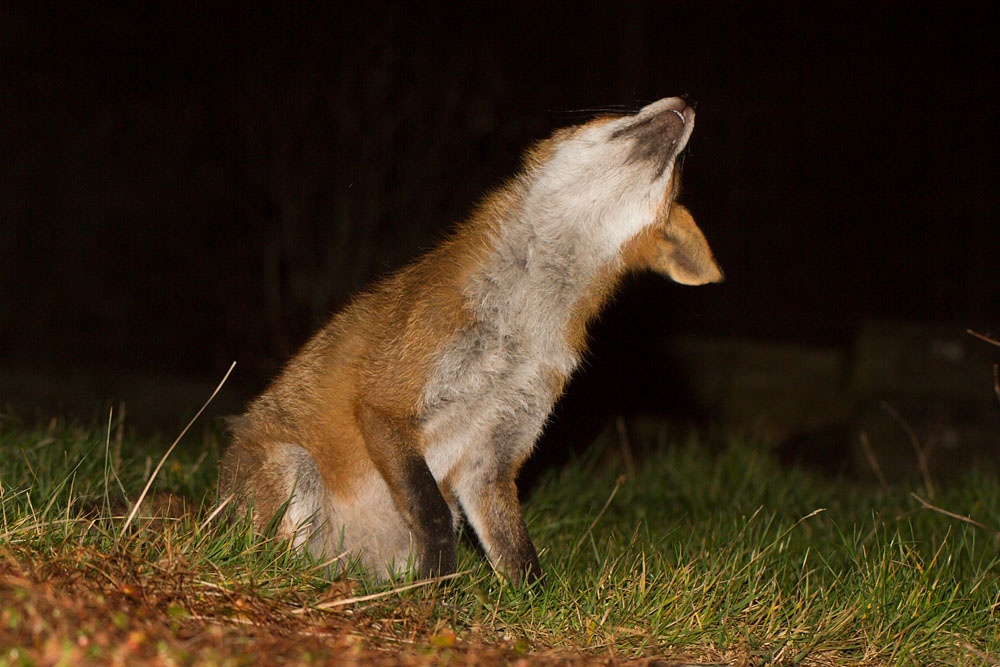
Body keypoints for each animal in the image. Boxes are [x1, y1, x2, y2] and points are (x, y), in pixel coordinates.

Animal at [220, 96, 723, 584]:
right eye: (616, 113)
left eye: (676, 177)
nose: (689, 106)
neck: (521, 323)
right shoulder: (387, 402)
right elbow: (432, 513)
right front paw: (436, 590)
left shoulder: (494, 456)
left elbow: (519, 555)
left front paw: (533, 603)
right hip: (294, 470)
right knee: (275, 563)